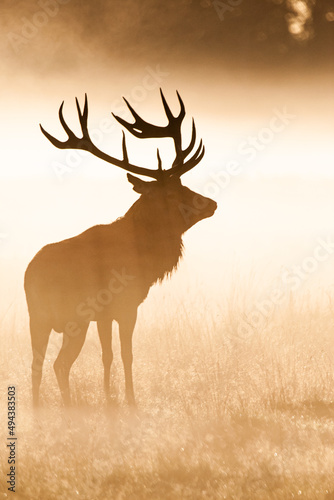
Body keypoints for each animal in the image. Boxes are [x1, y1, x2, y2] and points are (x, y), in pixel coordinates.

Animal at [24, 90, 217, 408]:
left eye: (183, 184)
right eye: (171, 192)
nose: (212, 203)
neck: (145, 255)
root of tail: (31, 276)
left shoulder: (103, 315)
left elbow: (107, 355)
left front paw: (109, 397)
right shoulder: (127, 305)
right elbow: (127, 354)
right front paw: (130, 399)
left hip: (37, 317)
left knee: (37, 365)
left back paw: (39, 408)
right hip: (73, 317)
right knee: (59, 364)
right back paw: (67, 406)